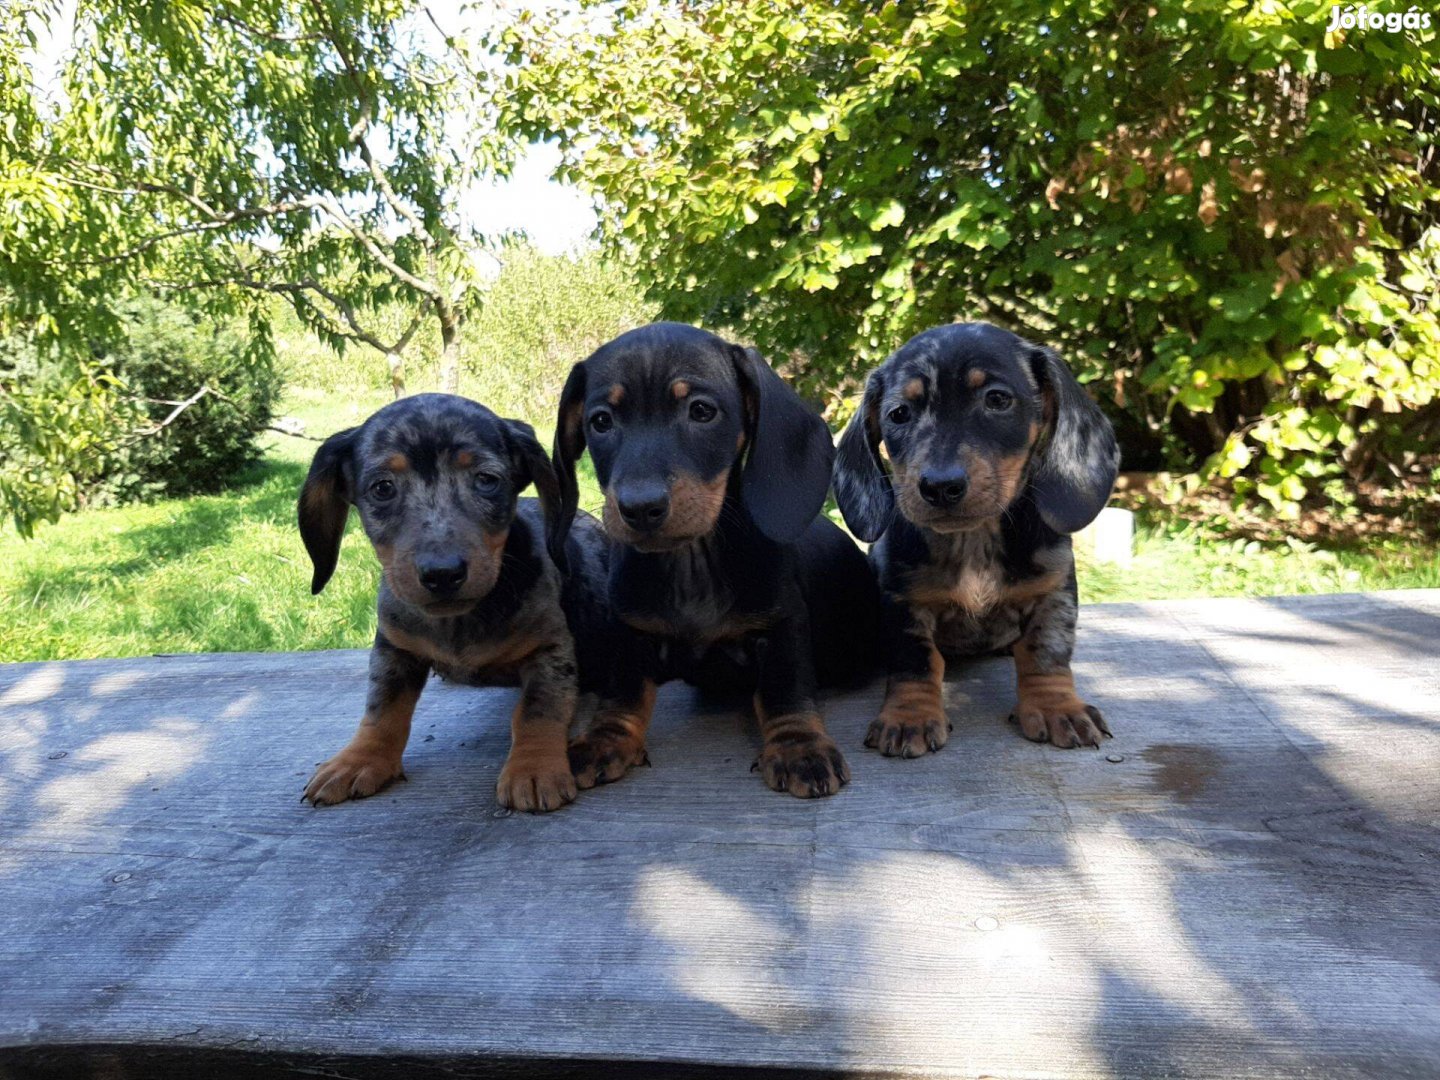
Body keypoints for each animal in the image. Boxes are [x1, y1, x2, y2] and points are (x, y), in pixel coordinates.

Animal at [295, 394, 610, 812]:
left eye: (486, 480)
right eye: (382, 488)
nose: (442, 573)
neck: (459, 621)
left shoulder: (550, 651)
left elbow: (537, 710)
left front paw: (534, 767)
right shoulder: (393, 649)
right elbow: (382, 710)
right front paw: (360, 759)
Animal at [547, 321, 875, 806]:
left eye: (701, 411)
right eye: (601, 421)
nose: (639, 508)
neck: (691, 564)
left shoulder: (783, 624)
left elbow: (785, 691)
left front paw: (798, 747)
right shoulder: (631, 630)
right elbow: (623, 693)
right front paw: (606, 738)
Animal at [835, 324, 1123, 754]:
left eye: (997, 399)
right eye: (899, 414)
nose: (940, 486)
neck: (973, 538)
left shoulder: (1053, 592)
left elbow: (1045, 653)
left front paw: (1057, 707)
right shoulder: (903, 601)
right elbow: (916, 662)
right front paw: (910, 716)